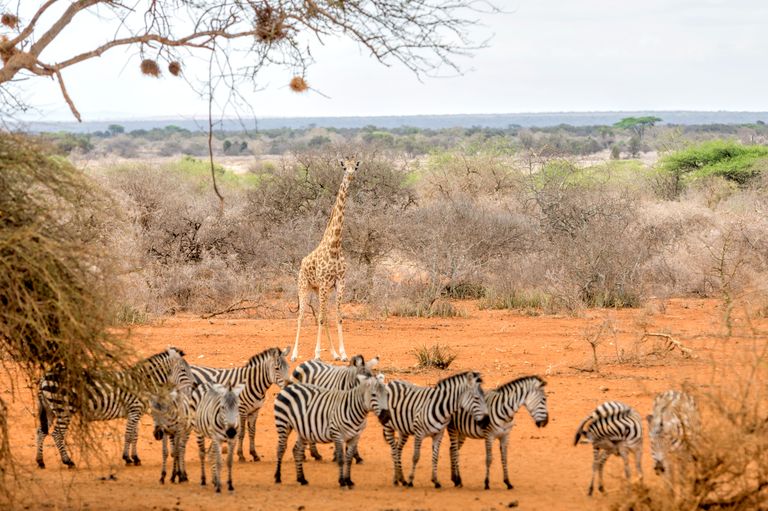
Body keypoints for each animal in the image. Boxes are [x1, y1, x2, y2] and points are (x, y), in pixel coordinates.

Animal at [36, 346, 184, 469]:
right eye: (185, 370)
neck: (145, 382)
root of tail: (44, 377)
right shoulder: (134, 410)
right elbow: (129, 435)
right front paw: (127, 458)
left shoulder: (136, 412)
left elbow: (135, 435)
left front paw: (135, 458)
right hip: (64, 410)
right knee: (57, 434)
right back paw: (68, 461)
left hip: (50, 410)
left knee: (41, 432)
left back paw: (40, 461)